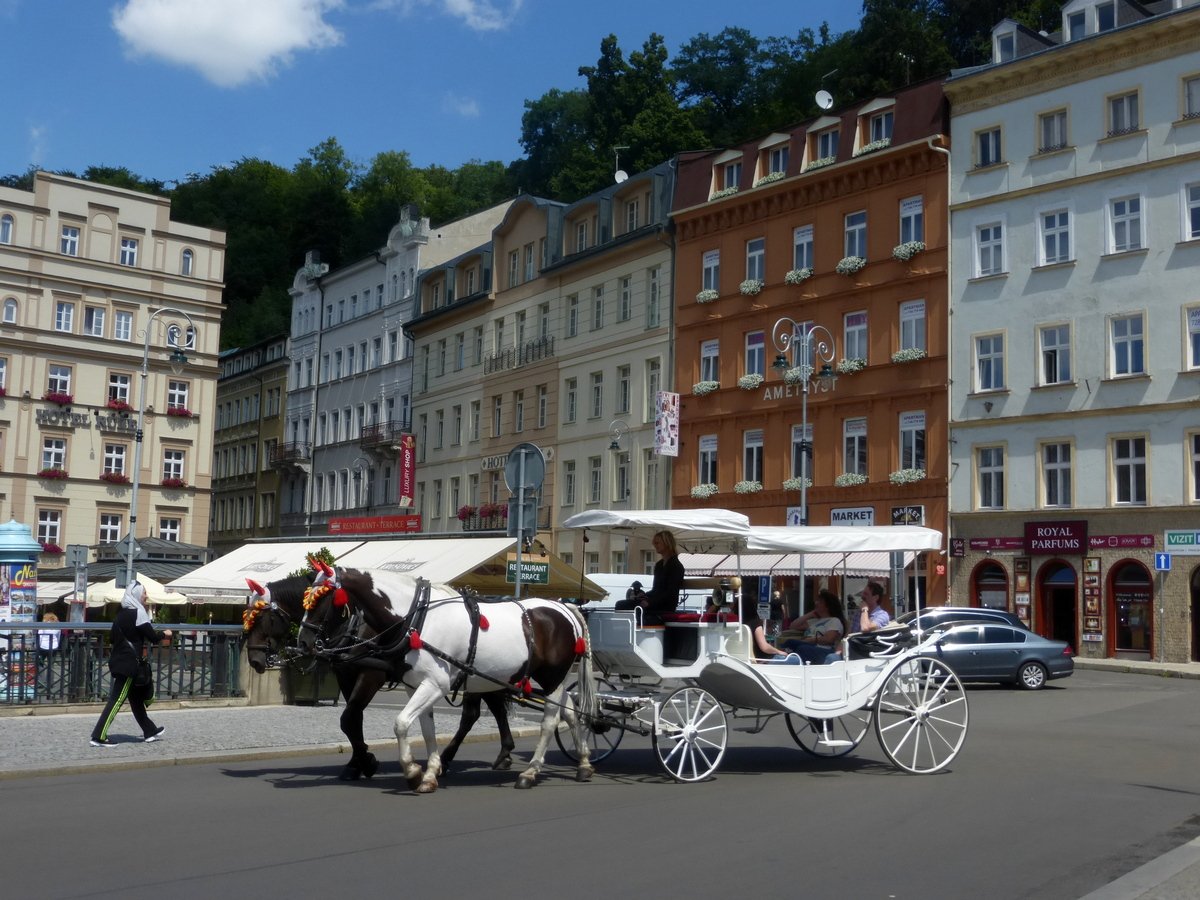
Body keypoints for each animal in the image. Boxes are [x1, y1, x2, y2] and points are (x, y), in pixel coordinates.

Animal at [241, 578, 518, 782]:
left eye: (263, 617)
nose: (254, 659)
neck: (353, 622)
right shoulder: (346, 674)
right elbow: (353, 721)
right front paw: (357, 762)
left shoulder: (372, 674)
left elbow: (349, 718)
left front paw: (367, 761)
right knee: (489, 709)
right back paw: (501, 753)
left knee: (474, 713)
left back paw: (455, 758)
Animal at [302, 566, 597, 792]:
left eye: (324, 599)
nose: (303, 642)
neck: (417, 618)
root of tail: (562, 606)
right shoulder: (415, 686)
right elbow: (426, 729)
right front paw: (430, 773)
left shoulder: (434, 684)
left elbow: (401, 723)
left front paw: (412, 771)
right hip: (548, 681)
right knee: (570, 712)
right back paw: (583, 763)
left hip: (551, 678)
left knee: (549, 722)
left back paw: (531, 771)